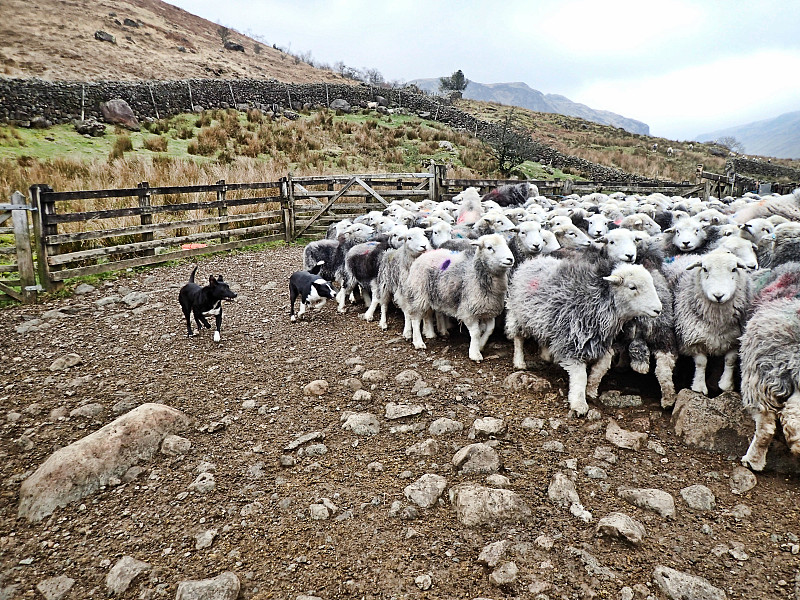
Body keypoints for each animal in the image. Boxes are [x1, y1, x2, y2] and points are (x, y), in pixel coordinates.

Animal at [506, 254, 664, 418]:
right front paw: (579, 403)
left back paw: (546, 355)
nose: (658, 309)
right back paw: (519, 362)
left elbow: (601, 369)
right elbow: (581, 376)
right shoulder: (572, 342)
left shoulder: (601, 342)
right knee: (518, 338)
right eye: (632, 287)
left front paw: (591, 391)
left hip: (544, 320)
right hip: (518, 314)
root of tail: (534, 260)